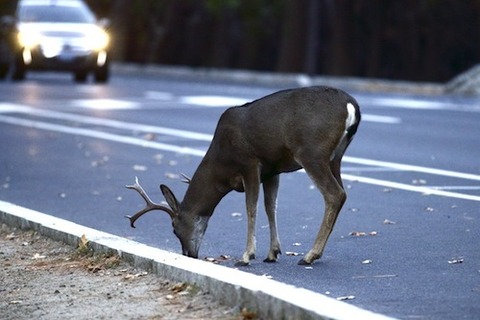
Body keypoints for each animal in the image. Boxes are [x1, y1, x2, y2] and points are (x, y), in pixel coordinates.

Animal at [126, 85, 360, 264]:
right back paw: (315, 253)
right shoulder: (272, 171)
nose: (188, 254)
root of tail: (352, 107)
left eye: (174, 228)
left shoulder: (250, 162)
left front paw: (247, 255)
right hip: (335, 157)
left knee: (334, 194)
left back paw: (309, 255)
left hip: (311, 151)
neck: (221, 165)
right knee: (342, 193)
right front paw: (272, 253)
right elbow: (270, 207)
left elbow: (251, 208)